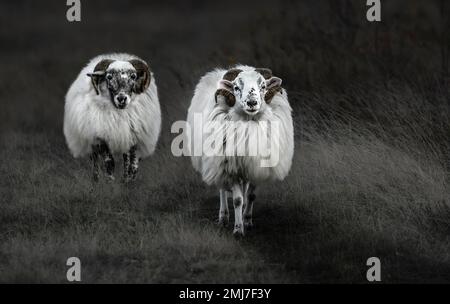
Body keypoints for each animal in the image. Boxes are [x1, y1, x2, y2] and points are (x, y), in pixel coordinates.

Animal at [62, 53, 162, 182]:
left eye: (133, 76)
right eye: (109, 77)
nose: (121, 98)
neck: (119, 113)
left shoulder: (133, 139)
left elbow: (131, 165)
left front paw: (128, 181)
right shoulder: (101, 138)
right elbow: (109, 162)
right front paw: (109, 181)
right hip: (91, 142)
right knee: (95, 163)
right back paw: (96, 180)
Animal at [185, 65, 294, 236]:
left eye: (263, 86)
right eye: (236, 87)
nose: (252, 102)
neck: (249, 123)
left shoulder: (256, 166)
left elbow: (251, 195)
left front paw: (247, 221)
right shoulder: (231, 168)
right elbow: (237, 200)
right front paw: (238, 230)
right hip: (218, 164)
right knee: (222, 189)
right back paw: (223, 217)